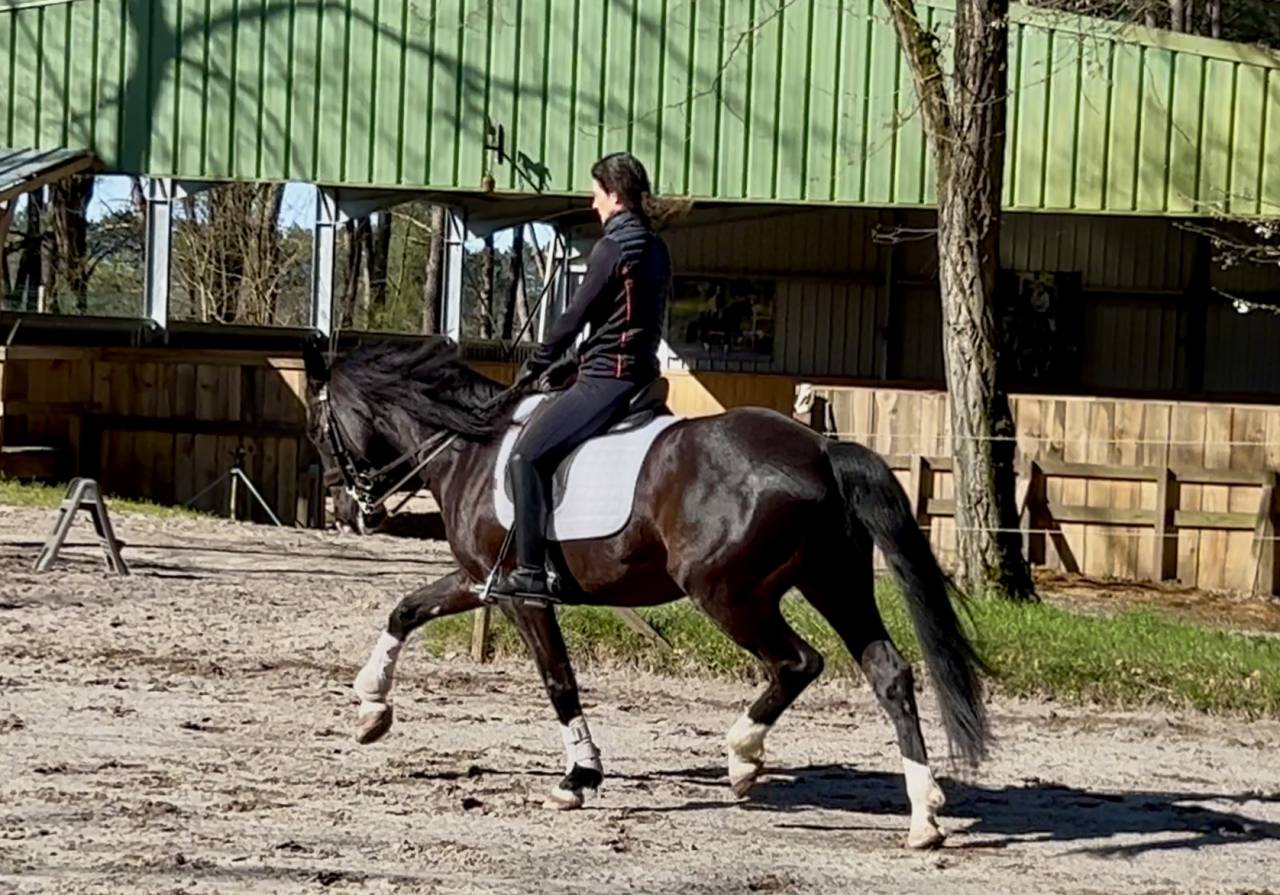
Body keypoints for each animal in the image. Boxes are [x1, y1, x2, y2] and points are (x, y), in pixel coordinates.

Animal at [302, 337, 989, 849]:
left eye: (317, 428)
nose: (349, 508)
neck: (469, 446)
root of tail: (821, 449)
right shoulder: (481, 580)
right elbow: (406, 609)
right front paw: (370, 709)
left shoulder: (522, 596)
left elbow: (558, 680)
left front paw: (578, 777)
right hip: (833, 583)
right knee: (888, 671)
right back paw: (924, 815)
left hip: (728, 595)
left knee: (797, 662)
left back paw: (742, 757)